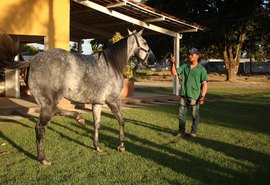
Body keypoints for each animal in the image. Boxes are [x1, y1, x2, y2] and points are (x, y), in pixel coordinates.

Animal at [0, 29, 155, 165]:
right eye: (145, 42)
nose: (153, 61)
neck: (112, 64)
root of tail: (31, 61)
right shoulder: (113, 100)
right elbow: (121, 120)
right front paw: (121, 146)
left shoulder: (97, 103)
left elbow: (97, 123)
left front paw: (97, 146)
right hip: (49, 104)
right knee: (40, 127)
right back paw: (43, 159)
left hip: (49, 103)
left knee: (56, 112)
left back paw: (79, 118)